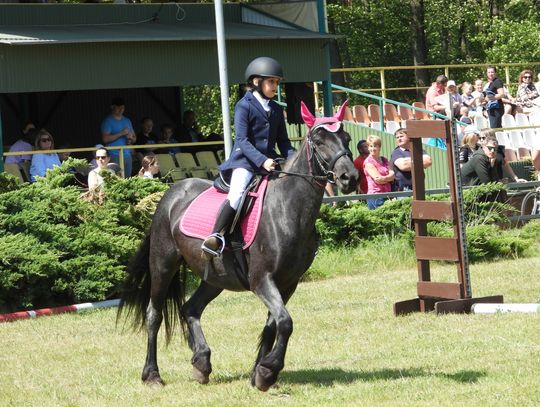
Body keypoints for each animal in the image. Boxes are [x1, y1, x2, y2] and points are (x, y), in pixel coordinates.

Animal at [119, 99, 358, 392]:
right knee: (154, 314)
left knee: (191, 309)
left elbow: (274, 325)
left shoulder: (288, 283)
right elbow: (285, 322)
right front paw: (268, 370)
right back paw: (152, 375)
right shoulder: (261, 280)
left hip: (215, 278)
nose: (350, 178)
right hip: (163, 264)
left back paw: (201, 363)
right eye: (320, 140)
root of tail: (171, 193)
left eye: (346, 139)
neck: (287, 209)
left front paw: (260, 373)